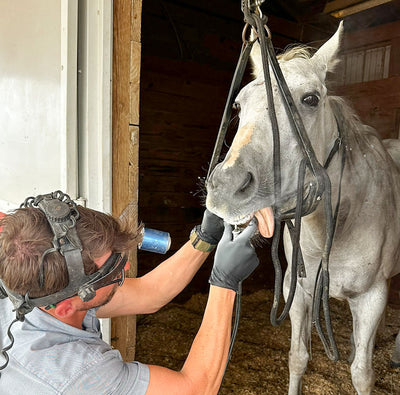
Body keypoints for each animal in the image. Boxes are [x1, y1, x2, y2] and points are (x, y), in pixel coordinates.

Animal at [205, 22, 400, 395]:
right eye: (238, 105)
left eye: (310, 99)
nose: (226, 187)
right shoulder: (296, 294)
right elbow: (298, 357)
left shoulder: (371, 298)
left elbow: (362, 374)